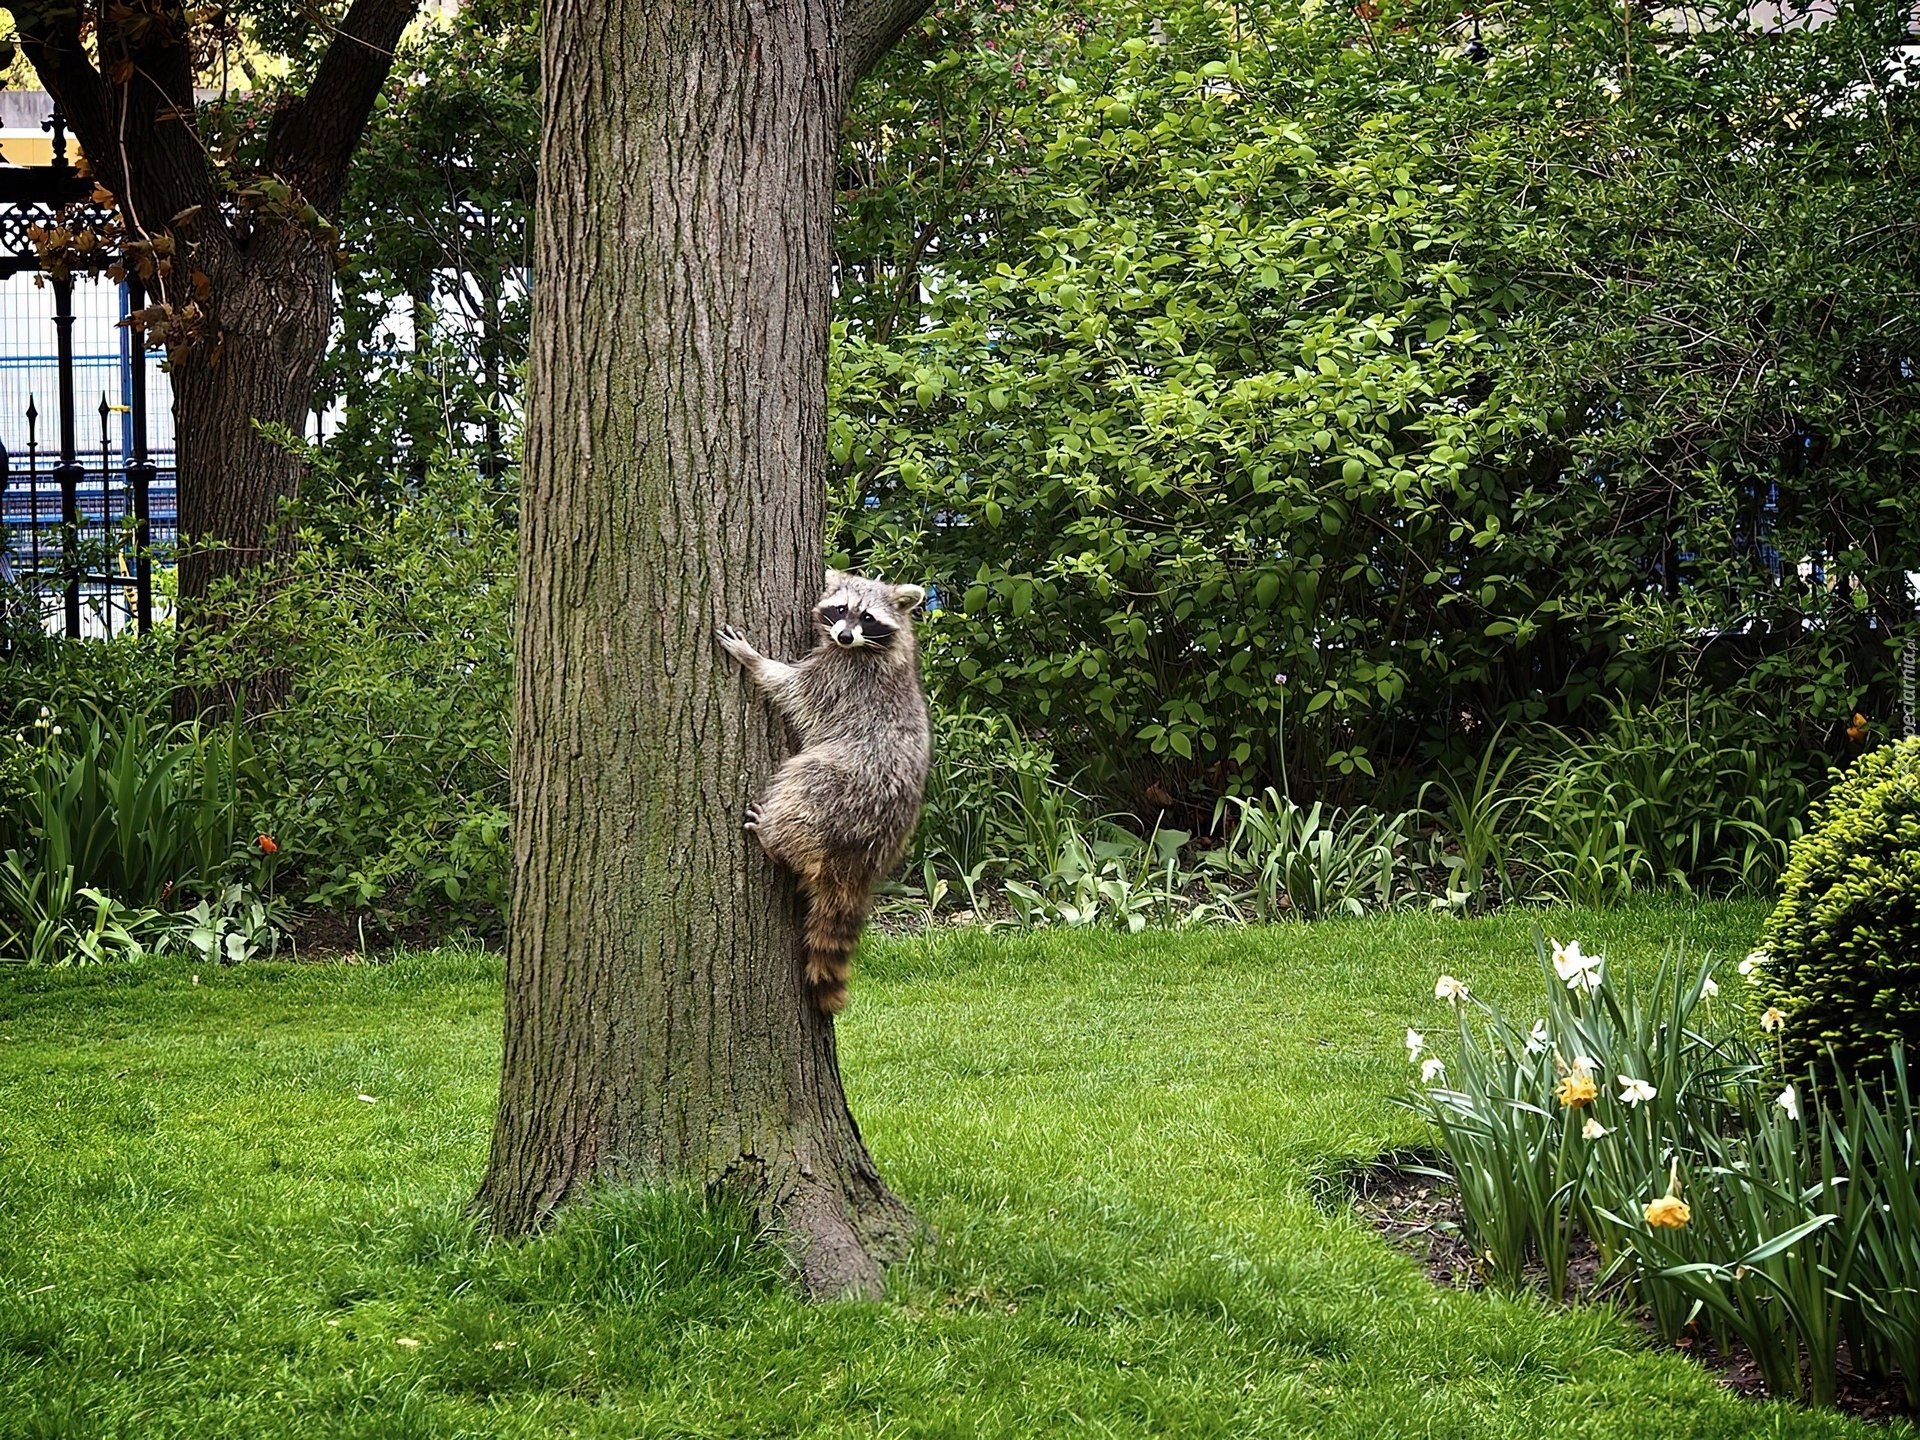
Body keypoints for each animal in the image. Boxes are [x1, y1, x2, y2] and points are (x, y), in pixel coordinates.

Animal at [716, 571, 931, 1014]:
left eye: (867, 617)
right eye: (840, 609)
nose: (845, 636)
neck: (871, 647)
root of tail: (861, 861)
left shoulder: (840, 677)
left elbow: (793, 689)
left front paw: (754, 659)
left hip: (844, 789)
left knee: (801, 782)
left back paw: (774, 840)